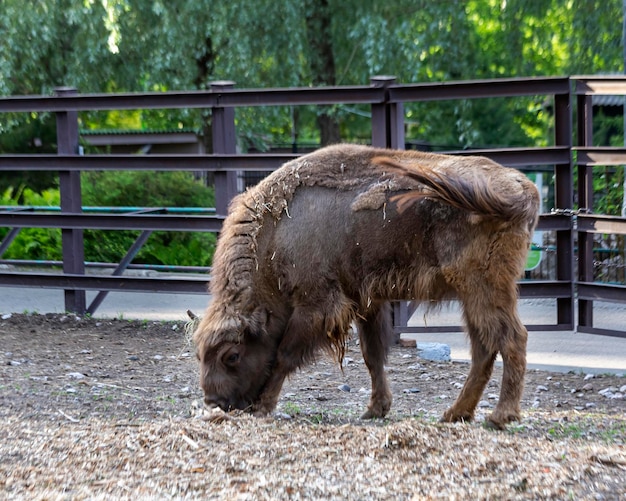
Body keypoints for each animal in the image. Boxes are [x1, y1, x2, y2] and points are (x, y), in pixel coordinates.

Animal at [193, 143, 540, 428]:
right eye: (200, 355)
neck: (278, 232)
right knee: (484, 348)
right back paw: (456, 413)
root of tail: (523, 188)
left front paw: (264, 406)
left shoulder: (316, 306)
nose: (214, 403)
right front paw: (375, 409)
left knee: (512, 338)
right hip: (471, 296)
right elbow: (373, 355)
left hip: (484, 287)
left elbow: (284, 355)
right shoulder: (366, 303)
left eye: (231, 356)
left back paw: (500, 416)